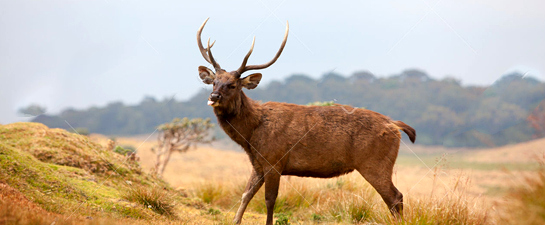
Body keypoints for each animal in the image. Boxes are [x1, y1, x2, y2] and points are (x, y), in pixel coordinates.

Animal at [198, 18, 414, 225]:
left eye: (232, 85)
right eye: (214, 82)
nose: (214, 96)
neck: (251, 135)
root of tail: (395, 125)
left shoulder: (274, 159)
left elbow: (270, 200)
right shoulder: (258, 163)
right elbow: (246, 195)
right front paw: (235, 220)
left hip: (375, 162)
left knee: (395, 197)